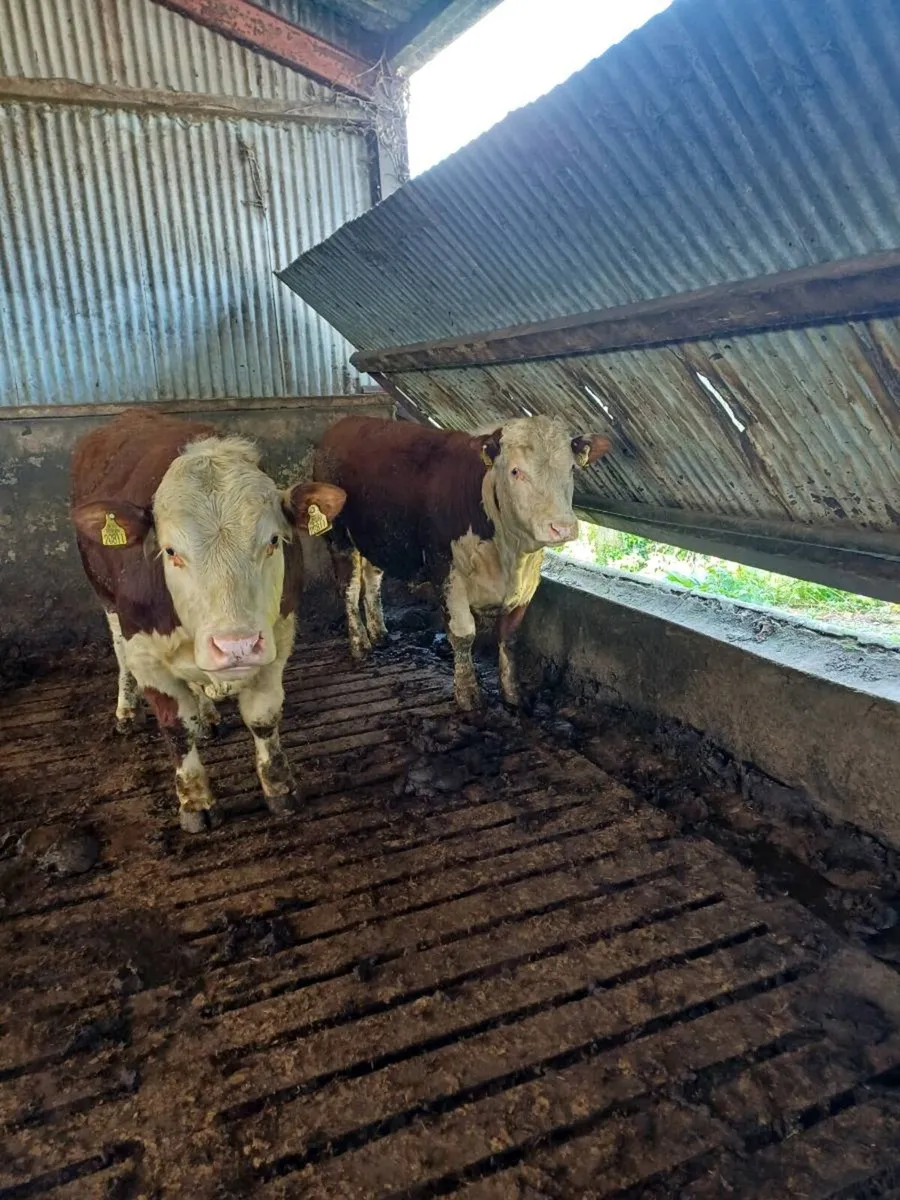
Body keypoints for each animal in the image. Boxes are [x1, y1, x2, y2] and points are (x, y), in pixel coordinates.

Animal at [70, 409, 347, 832]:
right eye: (170, 551)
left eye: (273, 541)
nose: (237, 645)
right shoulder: (145, 653)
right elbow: (175, 728)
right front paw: (196, 801)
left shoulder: (279, 638)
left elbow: (263, 717)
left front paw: (279, 788)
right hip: (105, 597)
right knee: (119, 651)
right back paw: (126, 711)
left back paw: (208, 715)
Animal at [313, 414, 610, 711]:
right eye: (516, 471)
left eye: (571, 469)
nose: (562, 527)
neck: (509, 553)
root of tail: (344, 422)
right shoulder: (447, 573)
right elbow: (464, 633)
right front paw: (468, 695)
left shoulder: (527, 584)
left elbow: (510, 637)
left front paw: (512, 694)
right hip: (339, 537)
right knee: (349, 588)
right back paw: (360, 644)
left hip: (378, 538)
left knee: (372, 579)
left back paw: (379, 632)